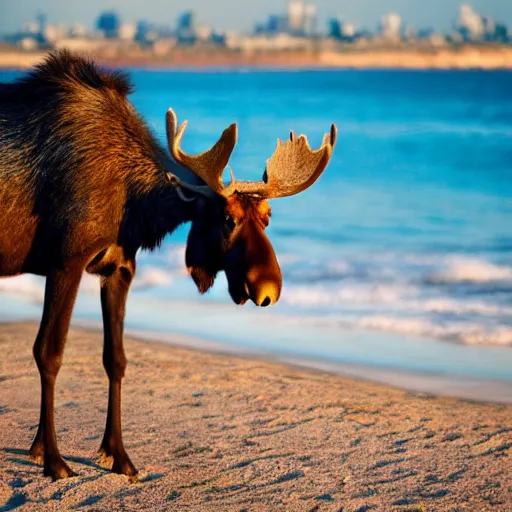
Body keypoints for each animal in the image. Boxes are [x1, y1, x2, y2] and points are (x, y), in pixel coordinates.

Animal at [0, 52, 338, 480]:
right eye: (227, 218)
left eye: (268, 215)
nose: (269, 289)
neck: (135, 207)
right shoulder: (66, 261)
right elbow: (49, 352)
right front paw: (53, 458)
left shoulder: (119, 268)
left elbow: (116, 359)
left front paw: (118, 455)